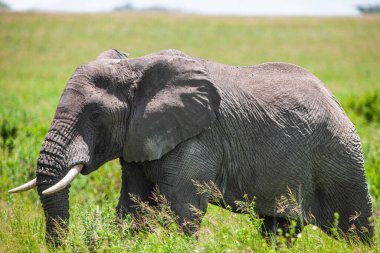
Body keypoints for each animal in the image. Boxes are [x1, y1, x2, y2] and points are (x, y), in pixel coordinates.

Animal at [9, 48, 374, 242]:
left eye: (96, 115)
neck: (136, 66)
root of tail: (335, 99)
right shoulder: (138, 138)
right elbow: (132, 207)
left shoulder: (197, 141)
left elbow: (184, 209)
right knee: (279, 228)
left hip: (339, 158)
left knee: (355, 225)